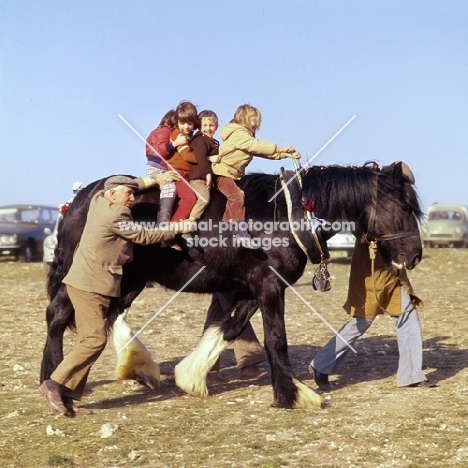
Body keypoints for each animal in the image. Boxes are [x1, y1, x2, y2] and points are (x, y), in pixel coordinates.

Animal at [41, 162, 424, 410]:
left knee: (108, 317)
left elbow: (229, 327)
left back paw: (128, 369)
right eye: (404, 206)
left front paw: (192, 376)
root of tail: (79, 198)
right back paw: (54, 384)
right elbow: (275, 340)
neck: (287, 214)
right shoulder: (270, 286)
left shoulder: (251, 288)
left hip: (128, 280)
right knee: (58, 315)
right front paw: (291, 395)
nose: (415, 255)